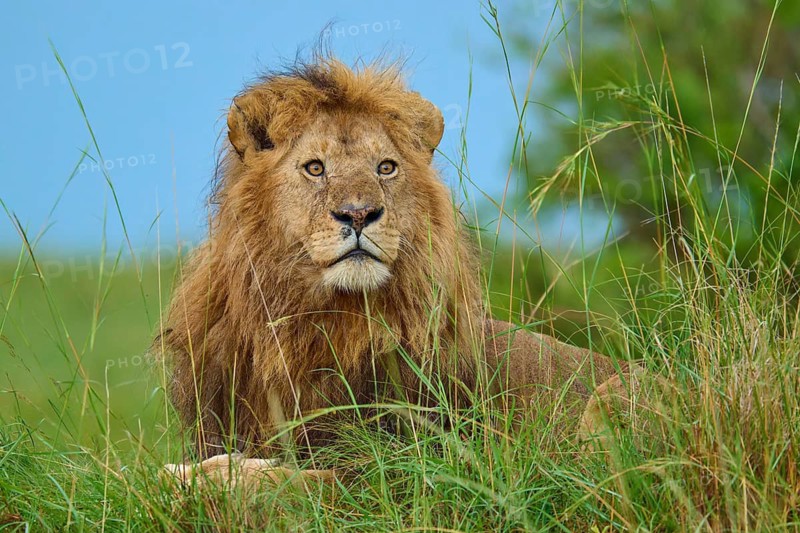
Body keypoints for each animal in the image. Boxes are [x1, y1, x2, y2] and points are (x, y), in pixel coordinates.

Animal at [158, 56, 635, 487]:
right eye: (315, 168)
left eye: (385, 168)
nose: (358, 214)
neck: (317, 321)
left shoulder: (412, 463)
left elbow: (306, 480)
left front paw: (217, 478)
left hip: (615, 395)